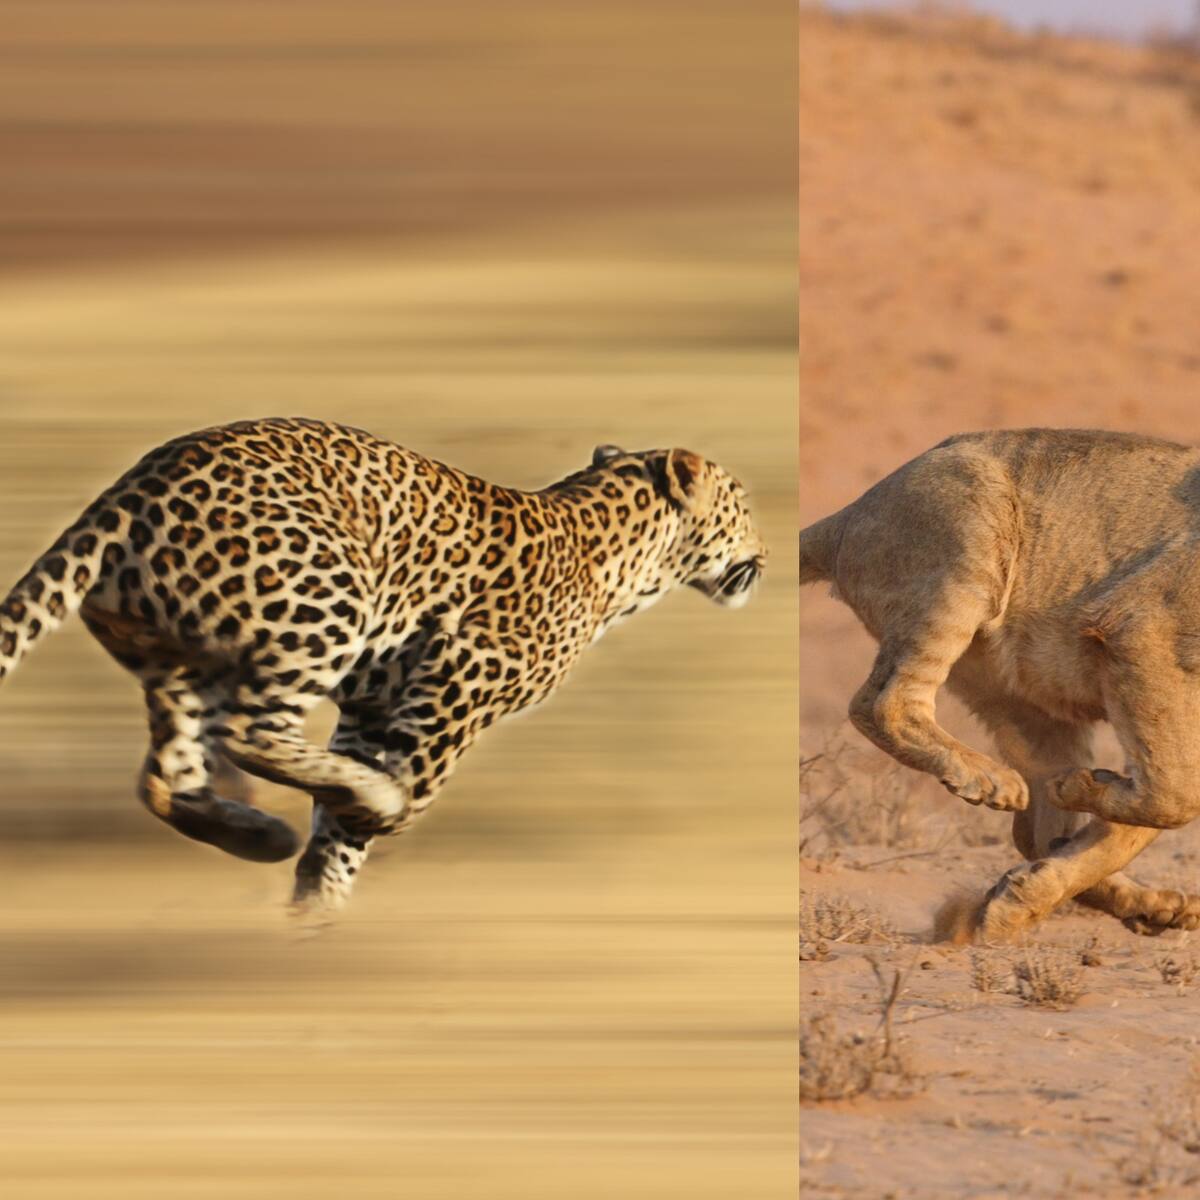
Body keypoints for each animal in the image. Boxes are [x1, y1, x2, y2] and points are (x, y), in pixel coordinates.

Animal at [0, 418, 767, 916]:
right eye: (743, 507)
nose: (764, 554)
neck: (630, 563)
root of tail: (129, 489)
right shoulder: (460, 669)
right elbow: (412, 786)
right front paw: (375, 816)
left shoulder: (371, 710)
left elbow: (338, 836)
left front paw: (318, 909)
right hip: (325, 599)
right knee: (248, 734)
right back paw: (352, 803)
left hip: (176, 661)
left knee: (168, 776)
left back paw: (257, 835)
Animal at [801, 427, 1200, 942]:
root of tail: (850, 514)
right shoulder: (1144, 625)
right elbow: (1174, 795)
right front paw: (1077, 787)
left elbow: (1160, 800)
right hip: (968, 540)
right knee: (881, 703)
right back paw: (994, 784)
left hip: (1028, 697)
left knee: (1037, 835)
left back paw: (1139, 903)